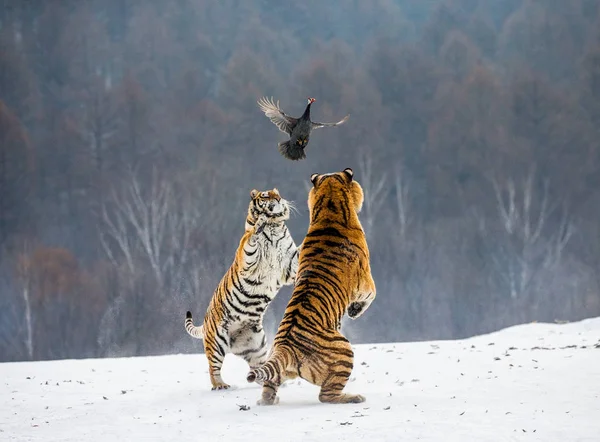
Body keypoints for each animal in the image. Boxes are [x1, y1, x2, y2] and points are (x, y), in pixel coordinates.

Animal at [184, 186, 298, 390]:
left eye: (278, 193)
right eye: (266, 195)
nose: (278, 200)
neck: (274, 226)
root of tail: (205, 323)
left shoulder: (290, 264)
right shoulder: (248, 258)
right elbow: (251, 238)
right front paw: (259, 224)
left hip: (257, 346)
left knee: (258, 369)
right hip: (217, 343)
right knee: (213, 369)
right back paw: (220, 385)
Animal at [245, 168, 376, 404]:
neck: (329, 210)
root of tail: (285, 347)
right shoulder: (365, 281)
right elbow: (371, 295)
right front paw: (354, 311)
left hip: (275, 366)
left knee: (269, 387)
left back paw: (267, 400)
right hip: (345, 350)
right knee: (326, 395)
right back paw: (355, 397)